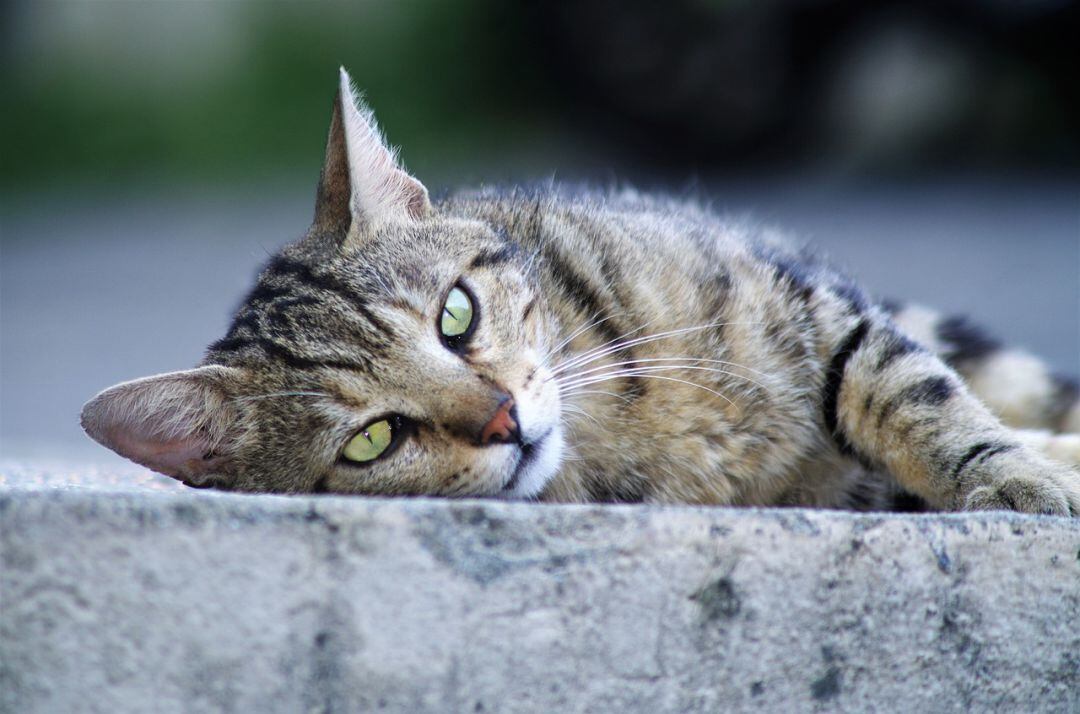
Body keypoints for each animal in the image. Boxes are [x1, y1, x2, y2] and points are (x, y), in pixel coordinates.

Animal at [78, 68, 1080, 512]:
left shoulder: (820, 310)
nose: (504, 422)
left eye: (455, 315)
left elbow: (921, 402)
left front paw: (1014, 481)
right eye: (372, 441)